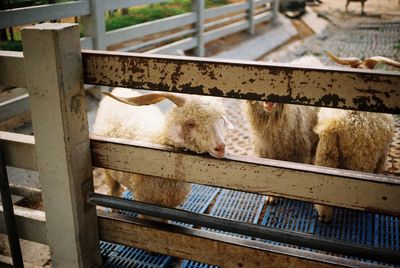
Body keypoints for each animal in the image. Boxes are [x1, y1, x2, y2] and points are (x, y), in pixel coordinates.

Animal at [93, 88, 231, 220]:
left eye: (220, 119)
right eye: (191, 123)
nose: (220, 148)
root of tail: (117, 89)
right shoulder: (146, 200)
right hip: (108, 171)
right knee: (113, 191)